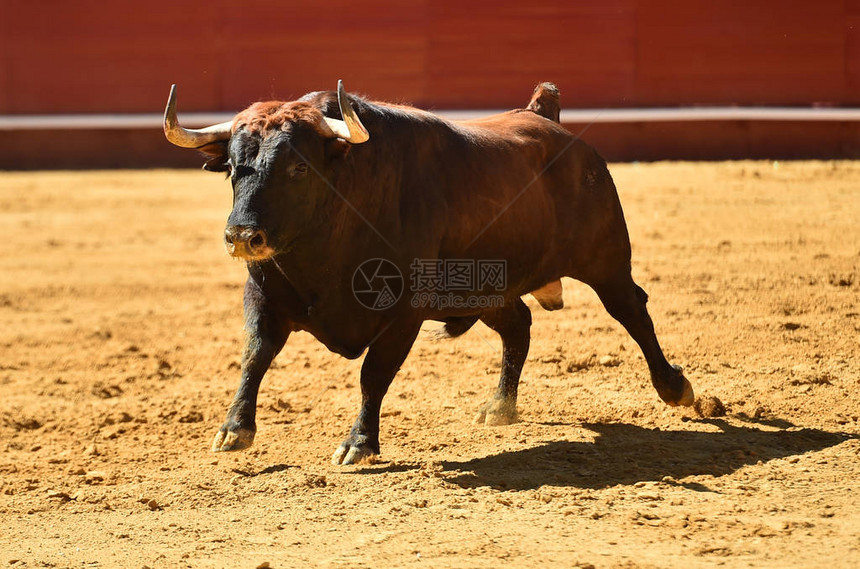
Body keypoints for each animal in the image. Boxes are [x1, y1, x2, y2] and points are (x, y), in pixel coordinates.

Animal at [163, 79, 700, 462]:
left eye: (299, 168)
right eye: (233, 168)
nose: (242, 236)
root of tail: (545, 118)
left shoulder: (404, 315)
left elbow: (374, 374)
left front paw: (358, 444)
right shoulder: (265, 297)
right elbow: (254, 356)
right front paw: (233, 430)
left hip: (606, 260)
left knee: (633, 311)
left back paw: (675, 388)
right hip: (487, 289)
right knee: (519, 326)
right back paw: (499, 407)